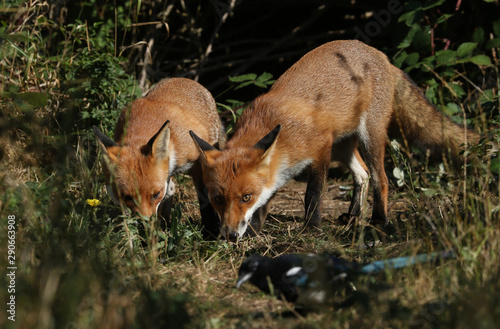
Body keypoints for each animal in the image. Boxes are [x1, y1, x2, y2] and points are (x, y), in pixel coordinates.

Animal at [94, 77, 227, 236]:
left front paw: (209, 231)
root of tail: (184, 79)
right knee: (171, 189)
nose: (145, 224)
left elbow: (205, 197)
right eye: (127, 198)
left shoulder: (199, 159)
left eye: (156, 194)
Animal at [189, 39, 478, 240]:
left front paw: (312, 227)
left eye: (245, 197)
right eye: (218, 199)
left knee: (381, 179)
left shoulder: (320, 148)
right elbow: (267, 198)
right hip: (344, 146)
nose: (229, 235)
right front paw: (255, 231)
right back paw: (352, 217)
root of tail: (383, 57)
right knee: (362, 174)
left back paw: (378, 221)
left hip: (368, 137)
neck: (278, 128)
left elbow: (313, 194)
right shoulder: (279, 168)